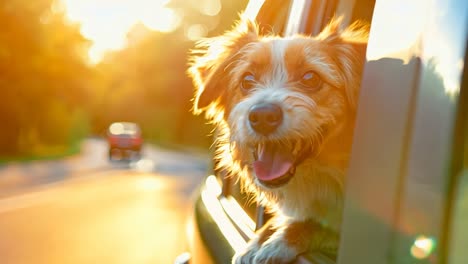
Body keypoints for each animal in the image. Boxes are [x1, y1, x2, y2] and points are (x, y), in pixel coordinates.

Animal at [188, 15, 368, 262]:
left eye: (310, 78)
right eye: (247, 80)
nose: (262, 116)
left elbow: (324, 225)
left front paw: (280, 240)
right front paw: (258, 240)